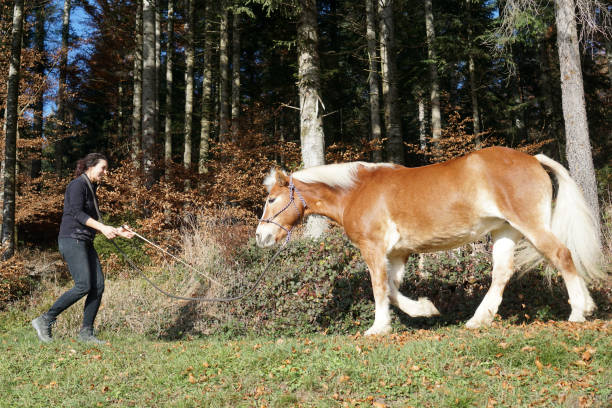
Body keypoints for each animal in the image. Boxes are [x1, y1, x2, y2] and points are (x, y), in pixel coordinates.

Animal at [253, 147, 604, 334]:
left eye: (271, 199)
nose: (261, 236)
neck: (356, 191)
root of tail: (532, 158)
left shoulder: (374, 249)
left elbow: (379, 288)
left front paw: (378, 328)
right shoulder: (397, 253)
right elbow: (393, 291)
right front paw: (425, 309)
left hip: (530, 225)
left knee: (562, 254)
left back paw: (579, 311)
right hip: (504, 231)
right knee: (502, 272)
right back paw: (478, 319)